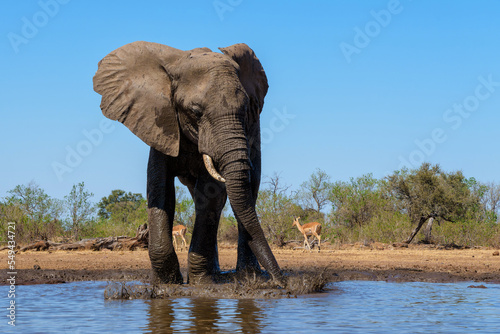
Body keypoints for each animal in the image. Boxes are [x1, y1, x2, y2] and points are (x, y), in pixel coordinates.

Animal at [93, 40, 282, 284]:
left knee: (247, 190)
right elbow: (160, 191)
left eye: (246, 109)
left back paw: (248, 274)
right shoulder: (159, 124)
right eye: (195, 111)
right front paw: (166, 282)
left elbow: (210, 195)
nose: (284, 283)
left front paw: (200, 283)